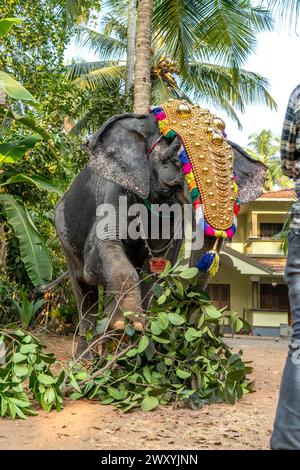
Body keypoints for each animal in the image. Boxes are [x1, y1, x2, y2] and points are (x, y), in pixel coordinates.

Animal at [54, 100, 264, 356]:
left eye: (232, 171)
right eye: (174, 159)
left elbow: (156, 272)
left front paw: (139, 341)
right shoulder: (114, 191)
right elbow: (102, 248)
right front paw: (129, 324)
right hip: (64, 235)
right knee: (84, 289)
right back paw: (87, 355)